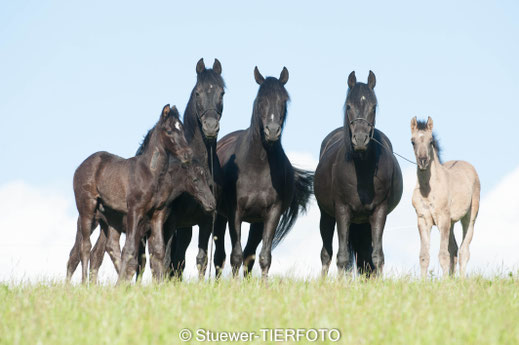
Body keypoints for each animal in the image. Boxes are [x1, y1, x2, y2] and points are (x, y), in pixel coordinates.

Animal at [68, 104, 197, 282]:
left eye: (182, 129)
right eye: (169, 131)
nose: (188, 154)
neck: (150, 174)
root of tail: (80, 167)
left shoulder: (157, 214)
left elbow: (159, 251)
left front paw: (159, 284)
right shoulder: (135, 211)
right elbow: (130, 250)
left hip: (109, 219)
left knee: (104, 248)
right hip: (87, 209)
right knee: (84, 247)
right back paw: (84, 283)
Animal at [211, 67, 312, 280]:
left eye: (284, 100)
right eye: (261, 100)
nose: (272, 131)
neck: (258, 166)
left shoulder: (271, 215)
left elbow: (264, 256)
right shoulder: (234, 213)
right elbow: (235, 255)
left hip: (256, 223)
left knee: (249, 254)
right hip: (219, 217)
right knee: (219, 256)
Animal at [314, 71, 404, 276]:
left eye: (374, 106)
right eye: (348, 105)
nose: (361, 139)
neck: (362, 170)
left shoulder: (379, 211)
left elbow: (377, 256)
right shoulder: (342, 211)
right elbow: (342, 257)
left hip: (363, 223)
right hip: (326, 215)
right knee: (326, 253)